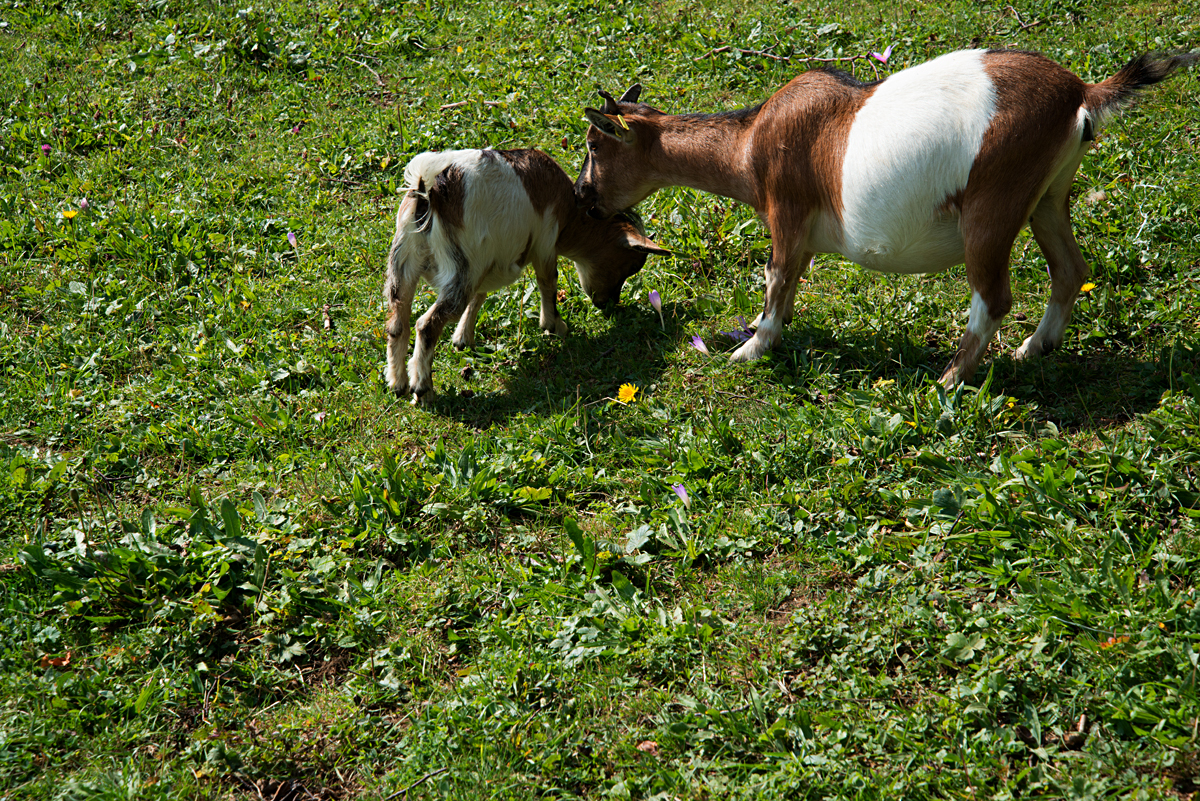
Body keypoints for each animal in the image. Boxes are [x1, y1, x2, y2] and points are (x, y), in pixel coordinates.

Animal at [384, 146, 667, 398]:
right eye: (629, 265)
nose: (608, 303)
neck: (569, 212)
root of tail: (428, 190)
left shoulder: (487, 264)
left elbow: (480, 295)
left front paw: (463, 339)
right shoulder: (545, 243)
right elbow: (548, 282)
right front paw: (555, 326)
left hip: (404, 261)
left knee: (398, 322)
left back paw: (398, 384)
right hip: (460, 268)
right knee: (426, 325)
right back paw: (422, 389)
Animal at [576, 49, 1195, 388]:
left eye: (593, 145)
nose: (584, 197)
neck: (750, 144)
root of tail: (1080, 92)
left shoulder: (786, 210)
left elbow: (777, 278)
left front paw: (751, 348)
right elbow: (787, 282)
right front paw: (758, 331)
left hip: (993, 204)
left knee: (993, 296)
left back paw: (948, 381)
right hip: (1047, 196)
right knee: (1068, 269)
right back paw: (1032, 349)